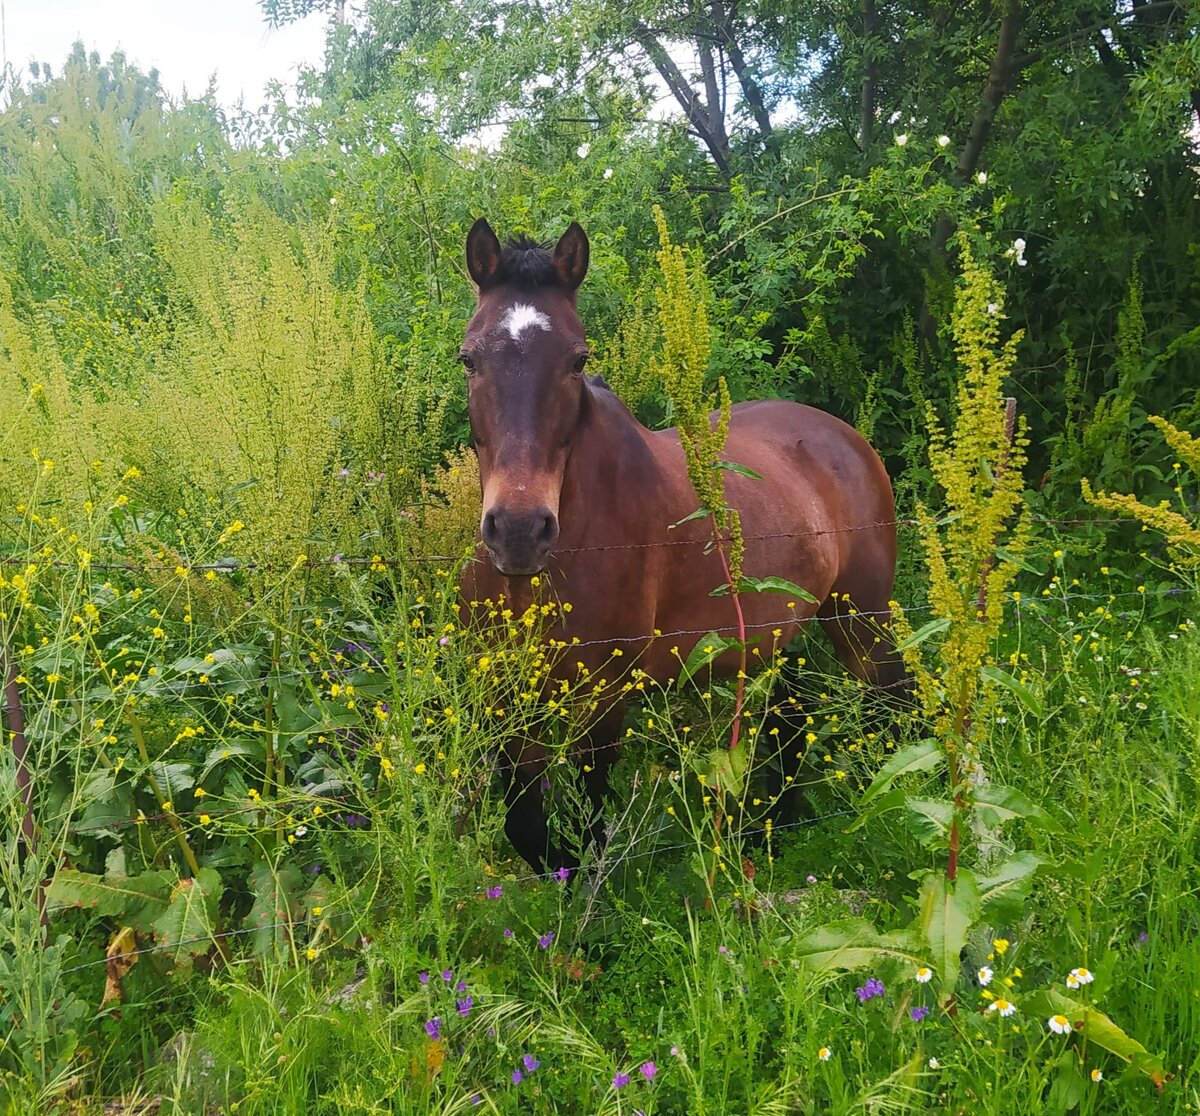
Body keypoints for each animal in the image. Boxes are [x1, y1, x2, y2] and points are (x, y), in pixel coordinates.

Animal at [456, 222, 902, 873]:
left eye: (578, 360)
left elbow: (588, 818)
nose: (518, 531)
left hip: (861, 619)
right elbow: (527, 824)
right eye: (469, 357)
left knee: (891, 707)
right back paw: (766, 832)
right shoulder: (512, 693)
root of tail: (845, 436)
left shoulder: (606, 694)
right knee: (789, 717)